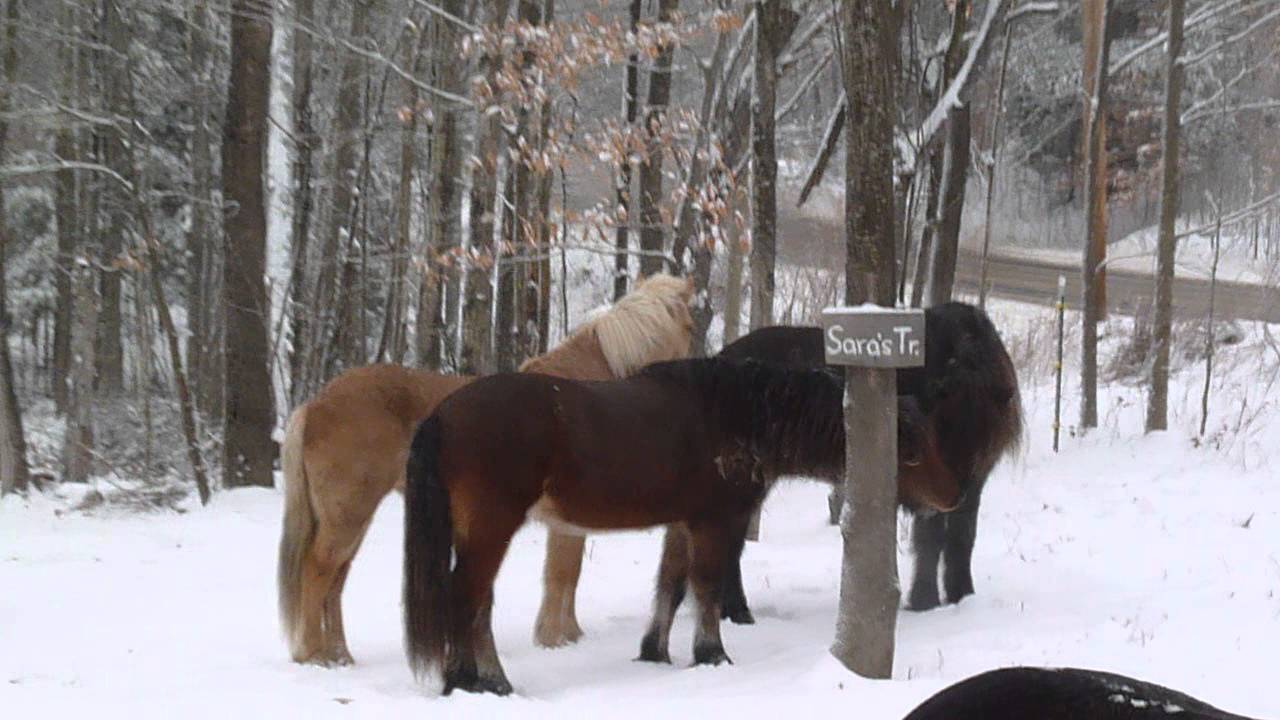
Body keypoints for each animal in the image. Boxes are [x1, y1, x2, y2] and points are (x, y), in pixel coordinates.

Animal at [276, 273, 694, 666]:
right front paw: (556, 639)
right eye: (690, 326)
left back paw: (339, 655)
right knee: (318, 570)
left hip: (352, 518)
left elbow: (565, 575)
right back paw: (313, 654)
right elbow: (563, 574)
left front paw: (567, 635)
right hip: (348, 513)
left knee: (335, 581)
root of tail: (314, 405)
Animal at [402, 357, 963, 695]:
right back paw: (471, 681)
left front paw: (654, 651)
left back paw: (487, 680)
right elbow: (707, 588)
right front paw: (711, 654)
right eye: (909, 448)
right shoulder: (716, 523)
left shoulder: (681, 523)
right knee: (467, 599)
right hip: (491, 527)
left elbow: (670, 586)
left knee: (476, 602)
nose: (954, 496)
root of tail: (443, 414)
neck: (740, 414)